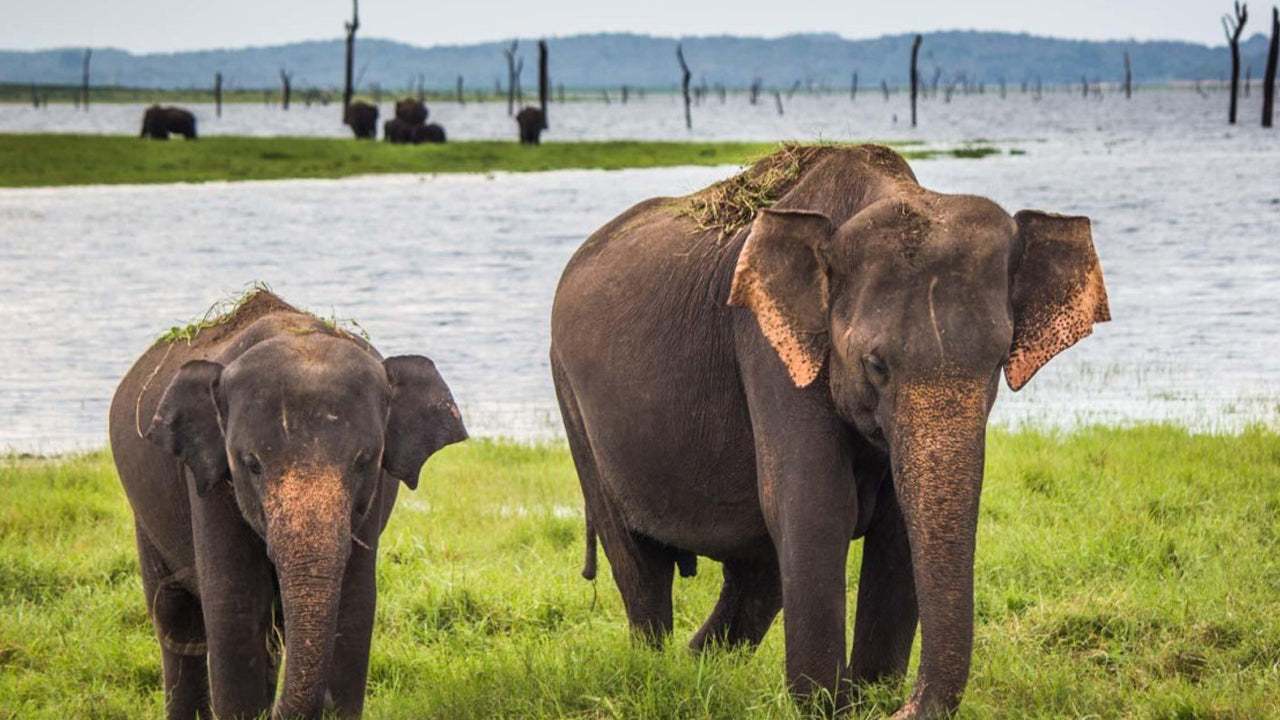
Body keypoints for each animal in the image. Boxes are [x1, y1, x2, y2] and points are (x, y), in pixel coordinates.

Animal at [110, 289, 468, 717]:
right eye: (252, 464)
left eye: (364, 461)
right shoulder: (209, 483)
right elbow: (234, 607)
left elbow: (355, 606)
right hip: (145, 514)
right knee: (175, 618)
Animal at [550, 142, 1111, 712]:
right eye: (875, 365)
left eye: (998, 362)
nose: (904, 707)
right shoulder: (767, 345)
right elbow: (815, 504)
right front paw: (830, 706)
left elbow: (895, 527)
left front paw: (869, 698)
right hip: (573, 401)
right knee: (643, 569)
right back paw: (659, 670)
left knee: (757, 576)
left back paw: (695, 670)